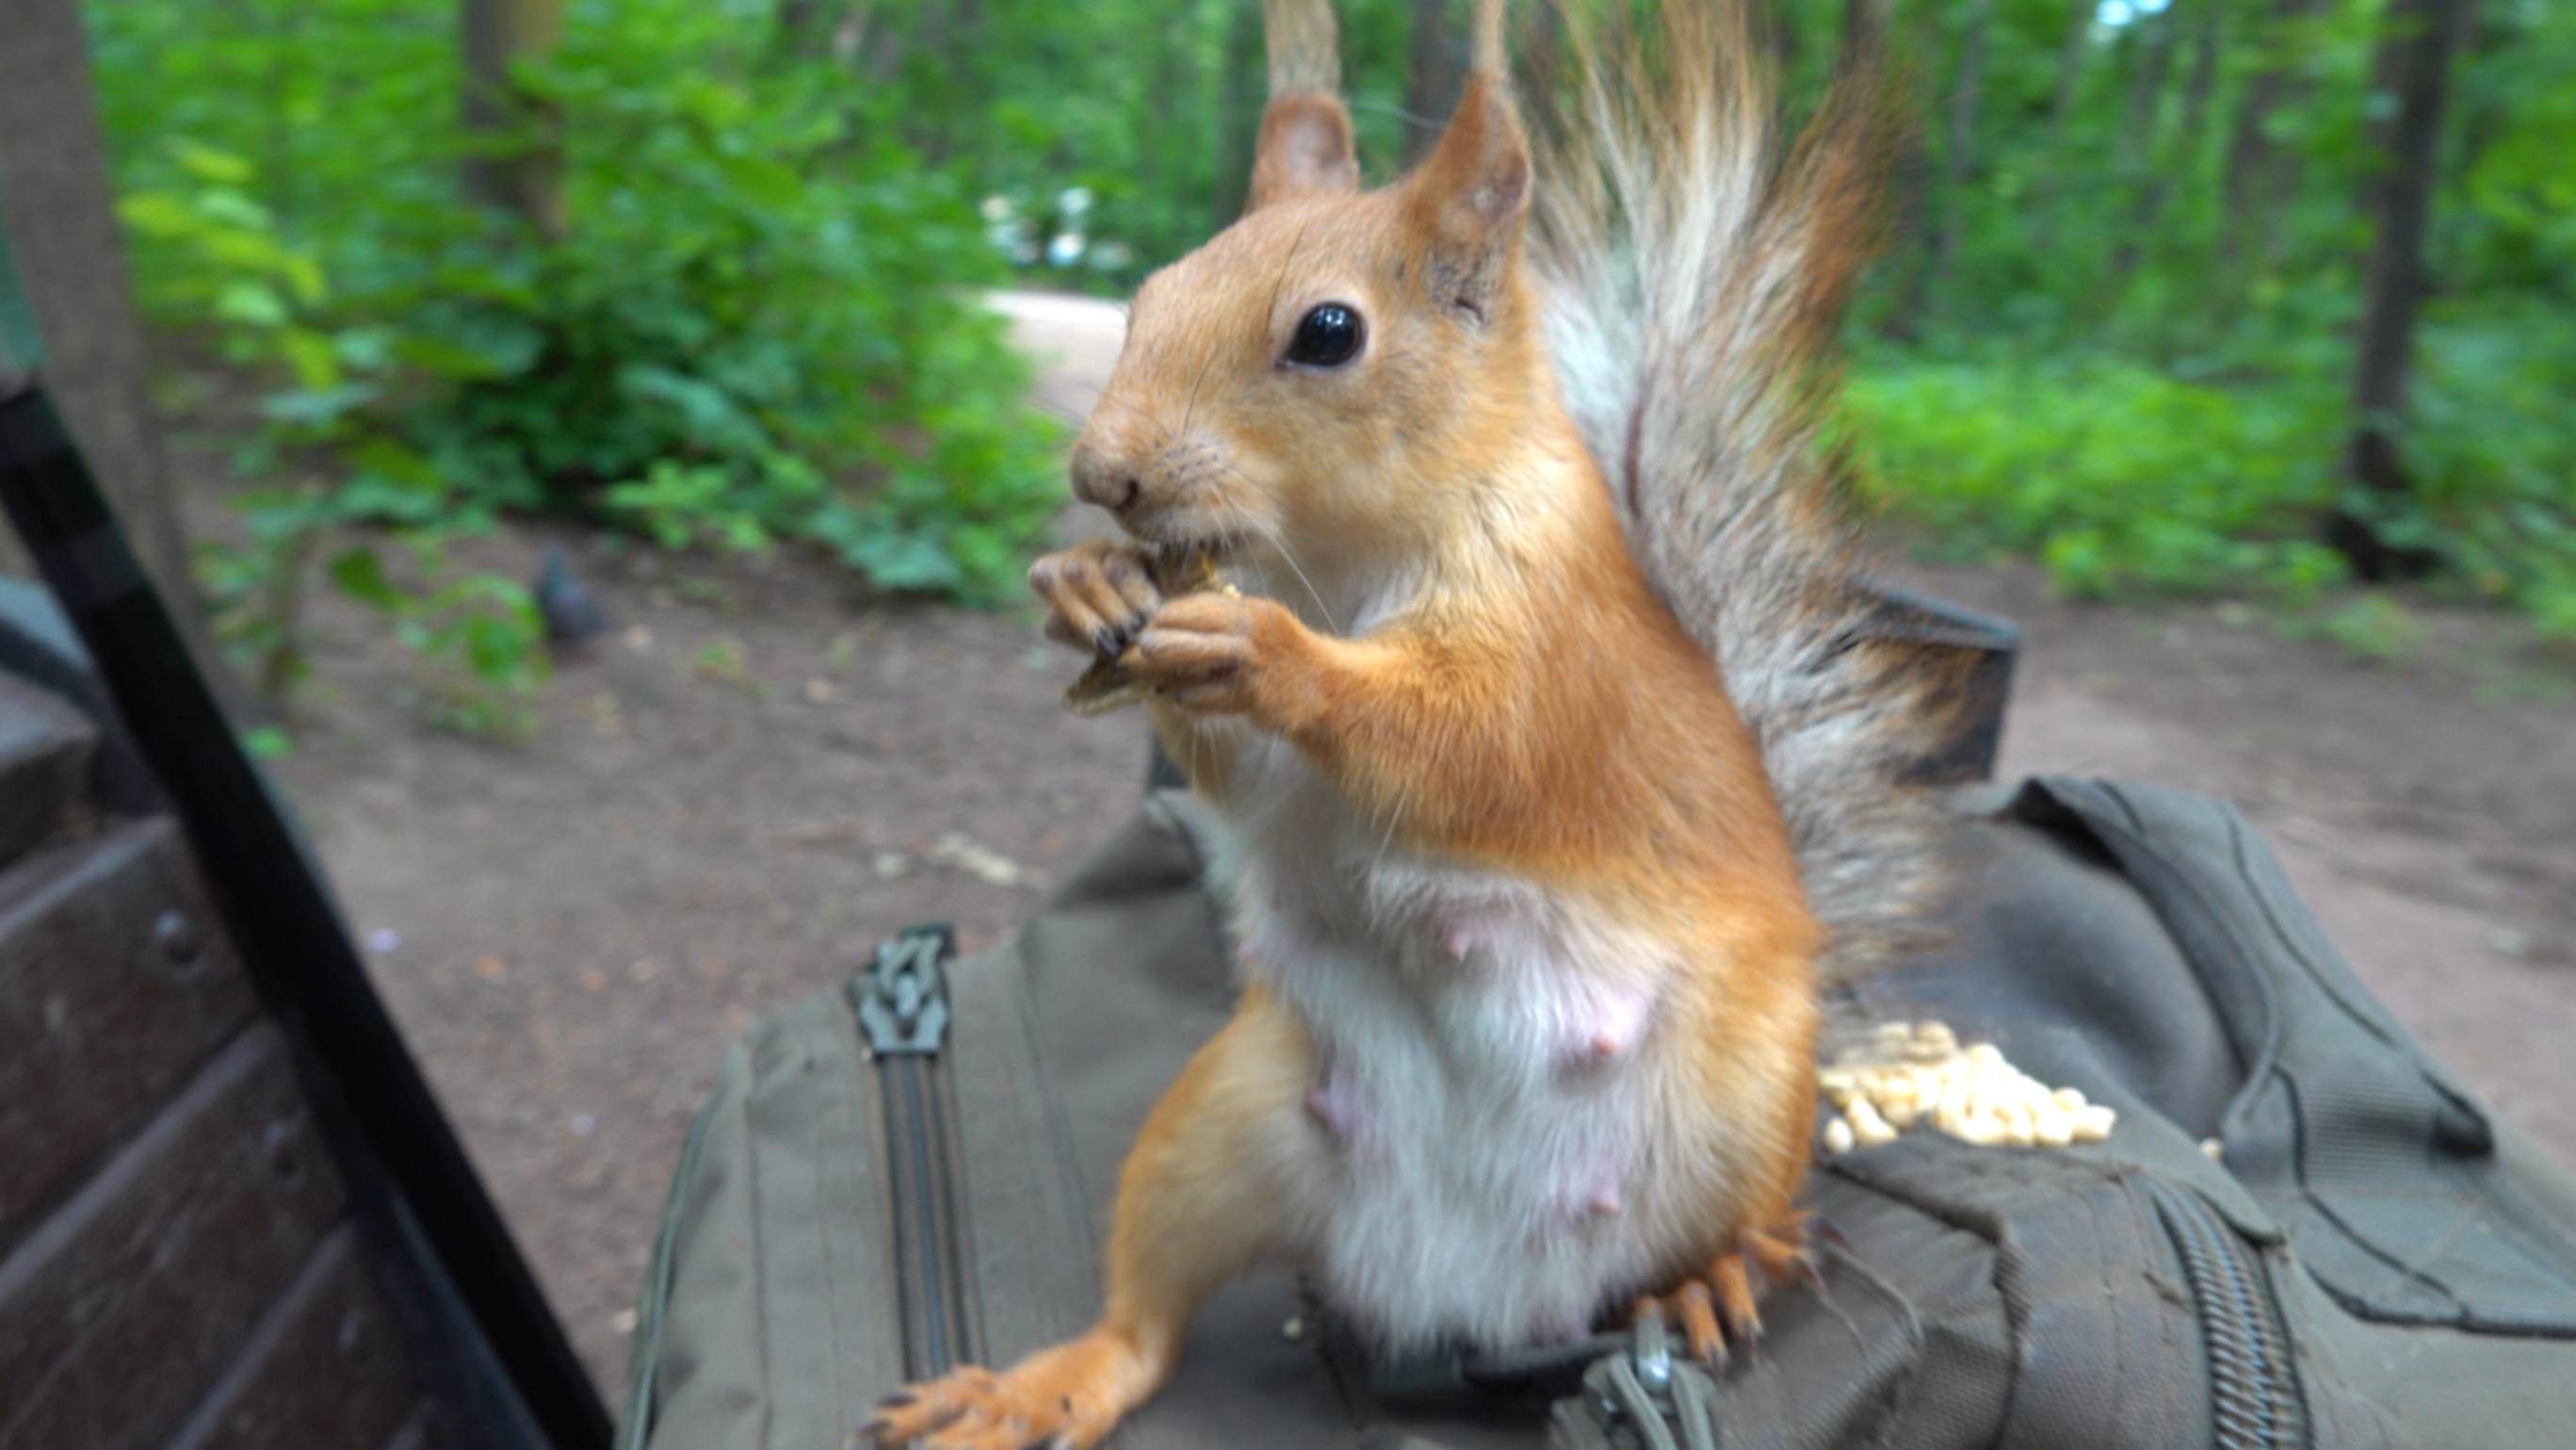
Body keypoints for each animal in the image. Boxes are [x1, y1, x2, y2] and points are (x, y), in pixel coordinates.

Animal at [871, 1, 1967, 1446]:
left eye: (1328, 331)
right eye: (1148, 296)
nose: (1101, 476)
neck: (1336, 560)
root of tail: (1464, 1291)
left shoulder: (1553, 660)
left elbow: (1458, 745)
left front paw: (1264, 653)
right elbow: (1244, 783)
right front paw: (1090, 583)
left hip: (1740, 1111)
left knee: (1744, 1221)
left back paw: (1713, 1274)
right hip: (1215, 1128)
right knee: (1144, 1319)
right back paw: (1030, 1384)